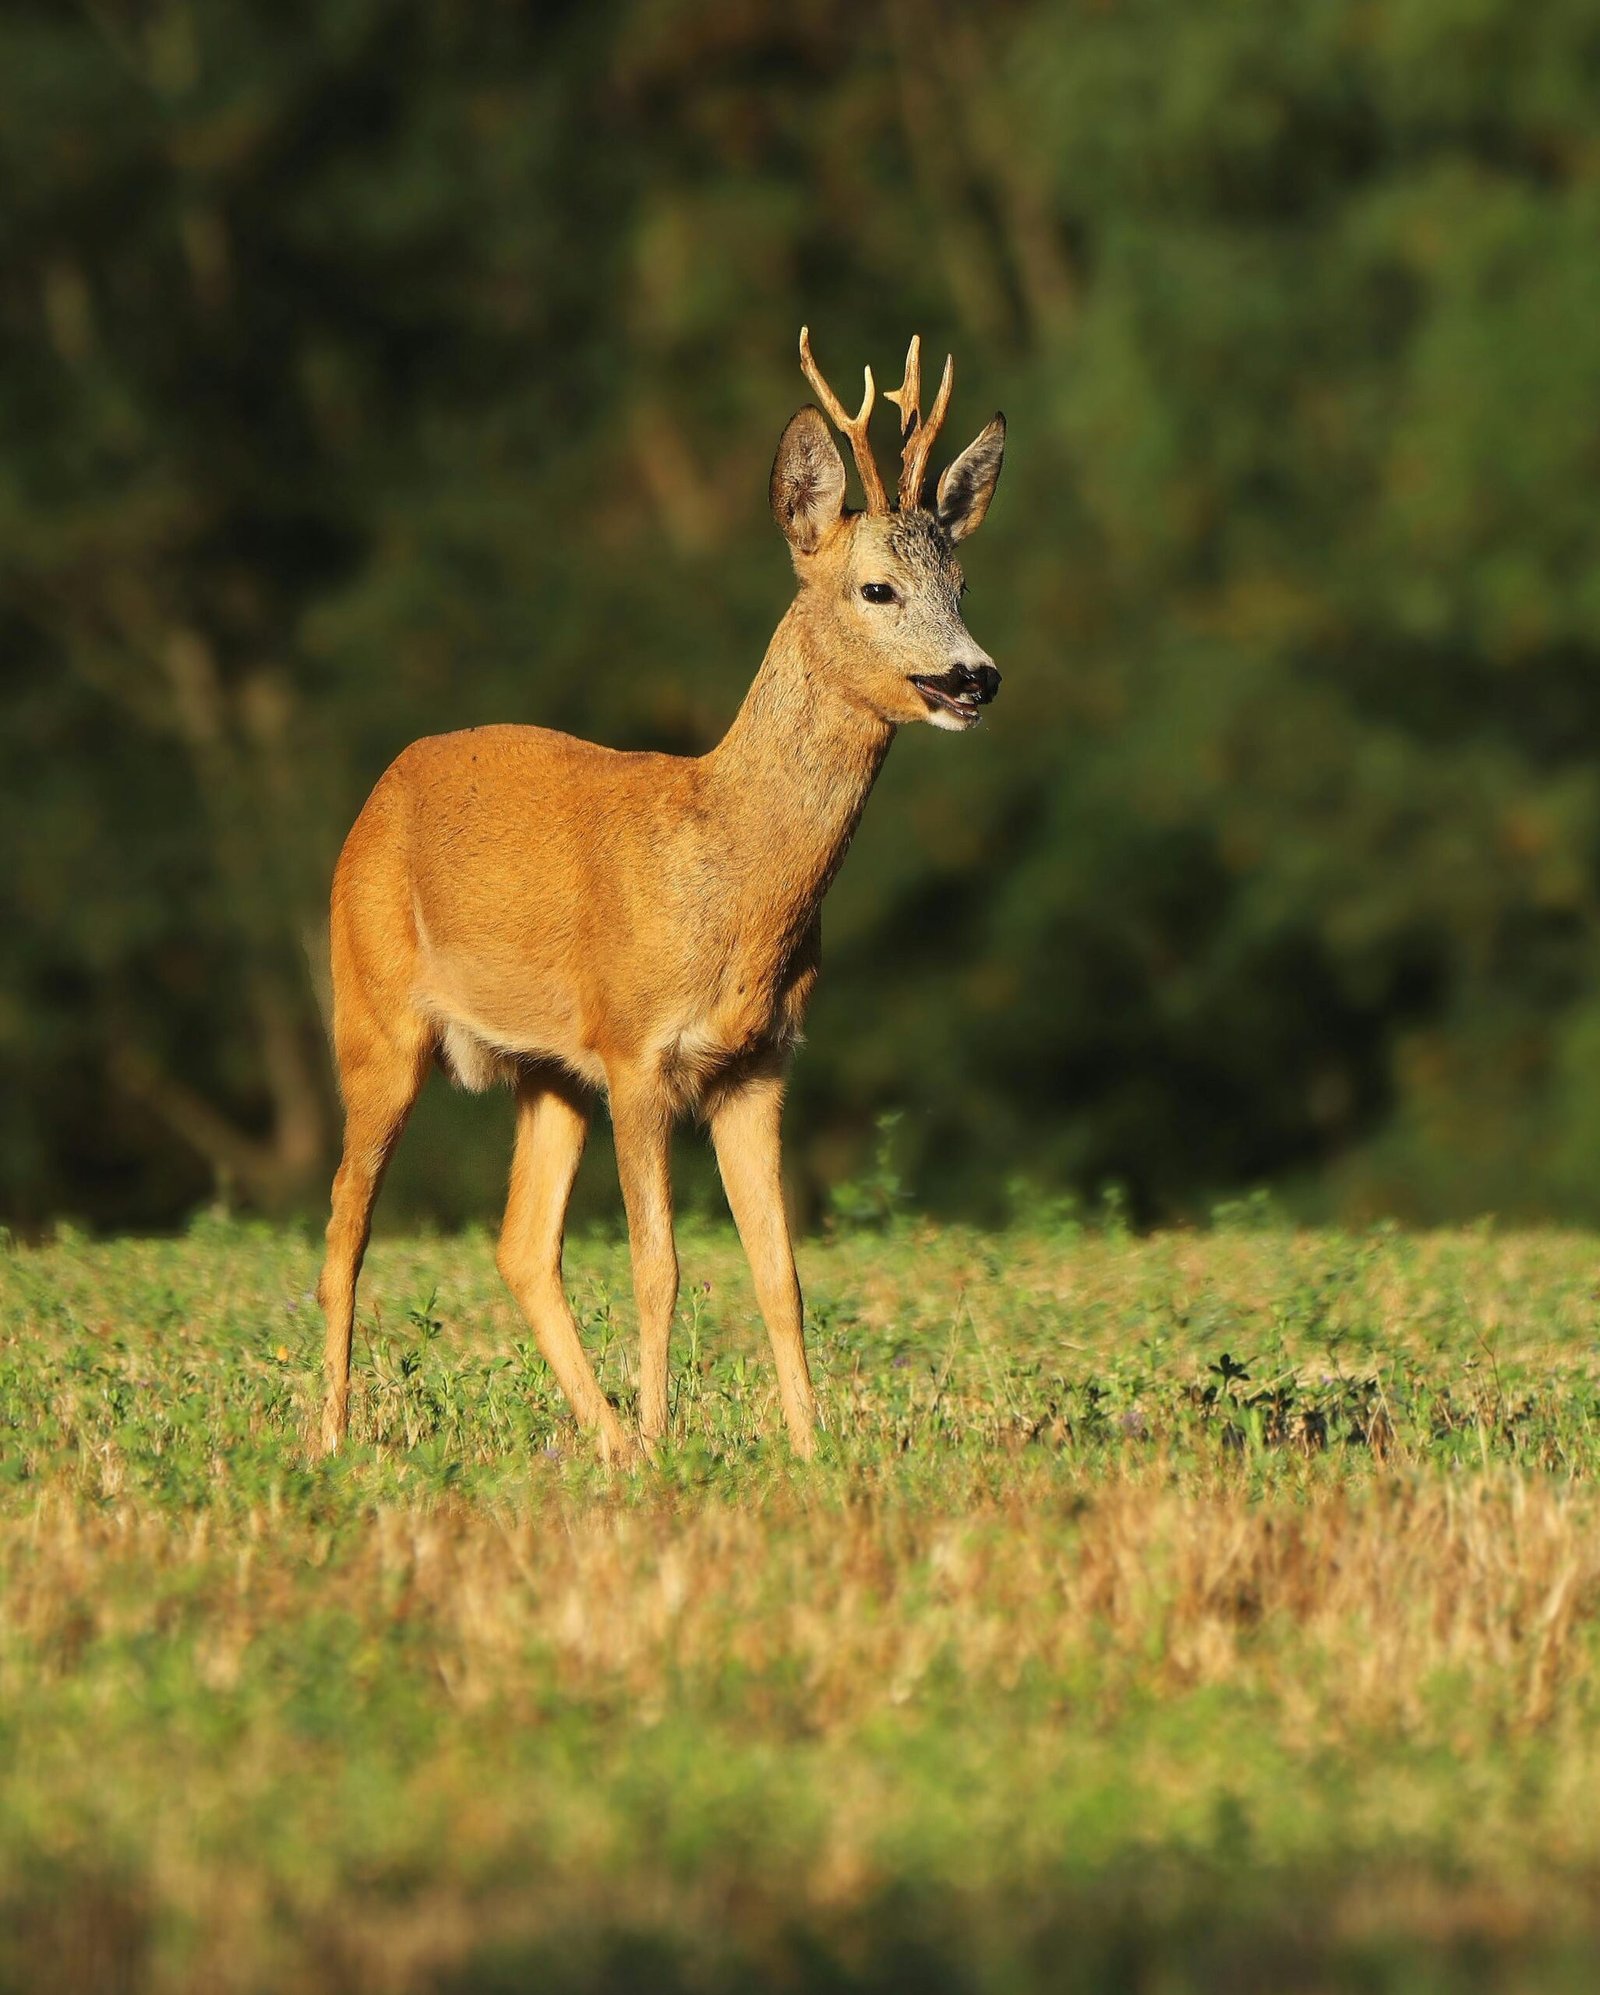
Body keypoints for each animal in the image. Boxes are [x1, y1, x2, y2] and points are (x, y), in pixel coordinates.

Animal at [317, 327, 1005, 1468]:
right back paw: (330, 1440)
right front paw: (669, 1441)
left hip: (545, 1068)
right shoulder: (638, 1049)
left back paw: (602, 1438)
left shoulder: (757, 1063)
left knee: (519, 1243)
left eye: (960, 578)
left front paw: (808, 1450)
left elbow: (780, 1273)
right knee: (344, 1226)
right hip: (372, 1013)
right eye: (876, 588)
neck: (729, 871)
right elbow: (660, 1267)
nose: (975, 676)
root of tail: (377, 791)